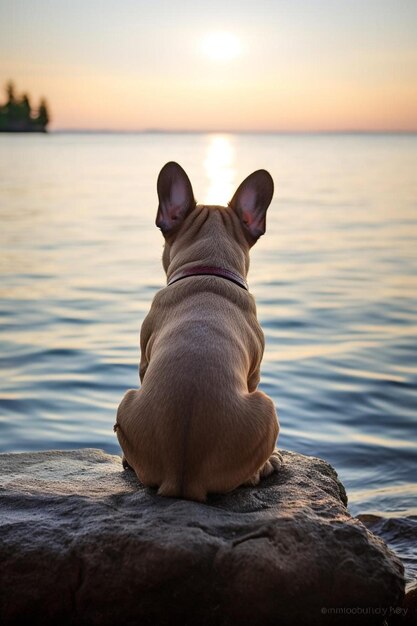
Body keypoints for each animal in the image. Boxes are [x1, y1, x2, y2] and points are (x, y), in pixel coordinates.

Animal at [114, 160, 280, 498]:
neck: (208, 267)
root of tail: (182, 476)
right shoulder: (254, 374)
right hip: (267, 407)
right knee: (249, 476)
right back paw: (268, 463)